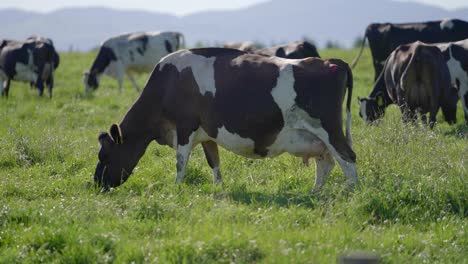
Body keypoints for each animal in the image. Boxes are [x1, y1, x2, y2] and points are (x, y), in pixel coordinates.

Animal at [94, 47, 358, 193]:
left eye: (104, 155)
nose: (96, 184)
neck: (167, 83)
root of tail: (333, 61)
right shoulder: (207, 134)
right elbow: (214, 163)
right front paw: (219, 190)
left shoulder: (184, 128)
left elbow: (180, 162)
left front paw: (176, 189)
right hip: (317, 138)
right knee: (326, 164)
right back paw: (315, 193)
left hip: (330, 129)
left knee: (347, 159)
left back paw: (352, 194)